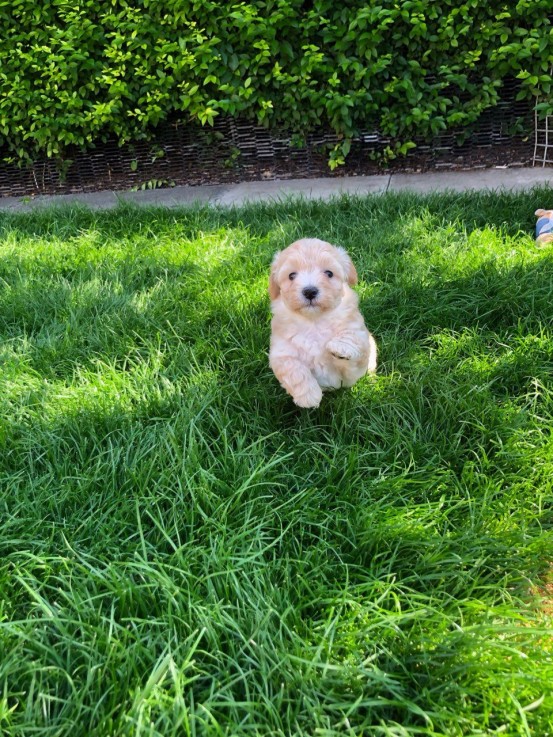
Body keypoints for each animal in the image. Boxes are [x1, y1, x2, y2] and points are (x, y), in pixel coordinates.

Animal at [268, 237, 376, 406]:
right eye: (291, 275)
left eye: (329, 273)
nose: (310, 291)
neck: (315, 321)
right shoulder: (281, 352)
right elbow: (293, 368)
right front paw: (309, 396)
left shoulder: (355, 368)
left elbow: (352, 337)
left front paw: (341, 347)